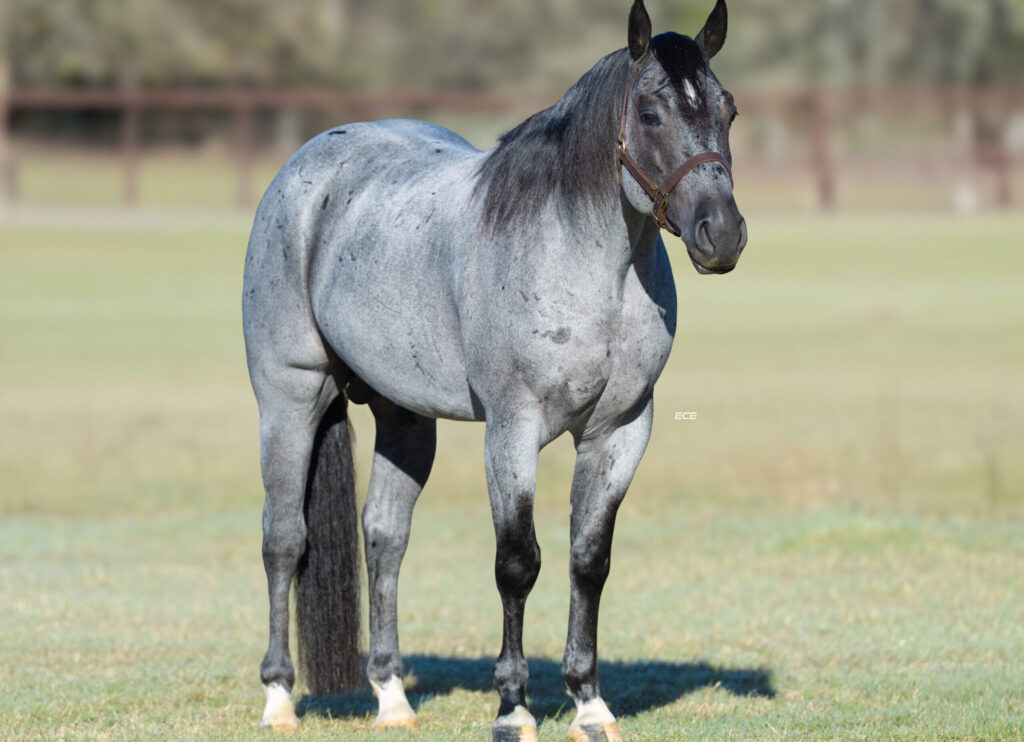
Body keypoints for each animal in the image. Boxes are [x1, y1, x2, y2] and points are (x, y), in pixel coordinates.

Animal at [242, 0, 746, 739]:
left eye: (728, 109)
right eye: (652, 113)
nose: (723, 234)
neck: (585, 262)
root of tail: (305, 166)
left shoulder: (621, 431)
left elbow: (588, 559)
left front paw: (589, 703)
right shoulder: (511, 428)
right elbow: (518, 562)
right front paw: (514, 707)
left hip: (405, 418)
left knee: (385, 537)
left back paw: (391, 696)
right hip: (289, 399)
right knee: (284, 539)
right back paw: (279, 697)